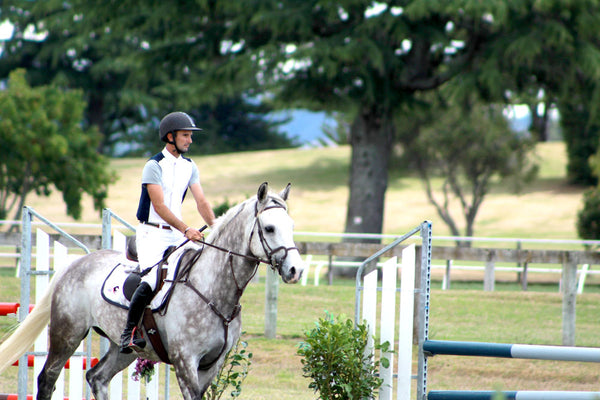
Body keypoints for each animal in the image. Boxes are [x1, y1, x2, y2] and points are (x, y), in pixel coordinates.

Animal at [0, 182, 302, 400]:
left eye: (291, 226)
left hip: (124, 349)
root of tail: (76, 263)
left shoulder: (211, 365)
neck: (215, 290)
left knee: (97, 378)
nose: (296, 270)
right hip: (67, 334)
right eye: (269, 228)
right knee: (47, 379)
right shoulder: (186, 362)